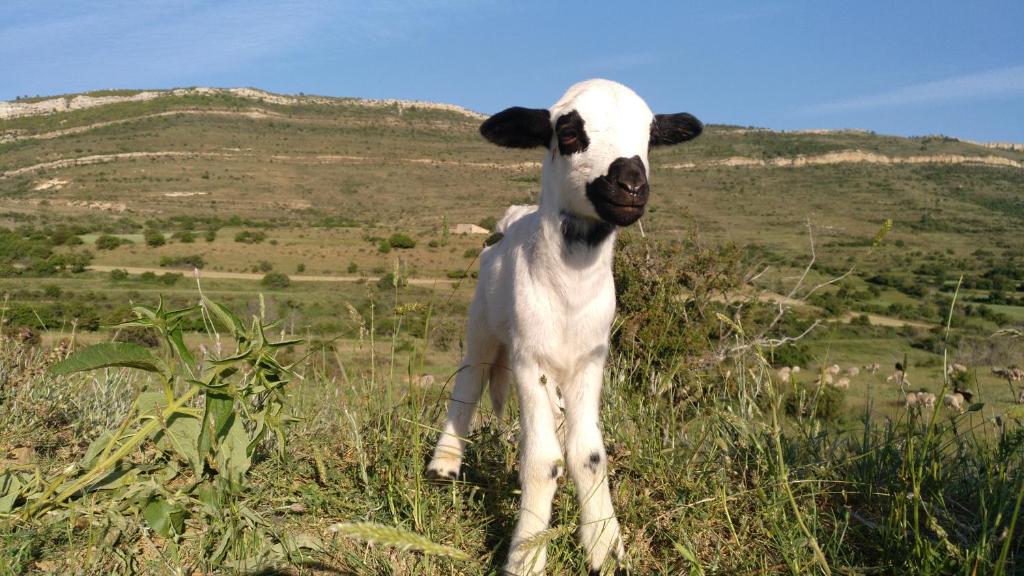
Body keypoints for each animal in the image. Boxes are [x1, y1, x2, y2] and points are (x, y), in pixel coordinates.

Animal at [425, 78, 704, 569]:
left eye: (650, 138)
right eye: (570, 133)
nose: (631, 184)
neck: (570, 294)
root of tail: (515, 215)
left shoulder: (592, 360)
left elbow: (588, 455)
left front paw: (606, 547)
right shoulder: (527, 358)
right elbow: (542, 461)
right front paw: (526, 555)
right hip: (483, 324)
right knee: (469, 381)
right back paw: (444, 464)